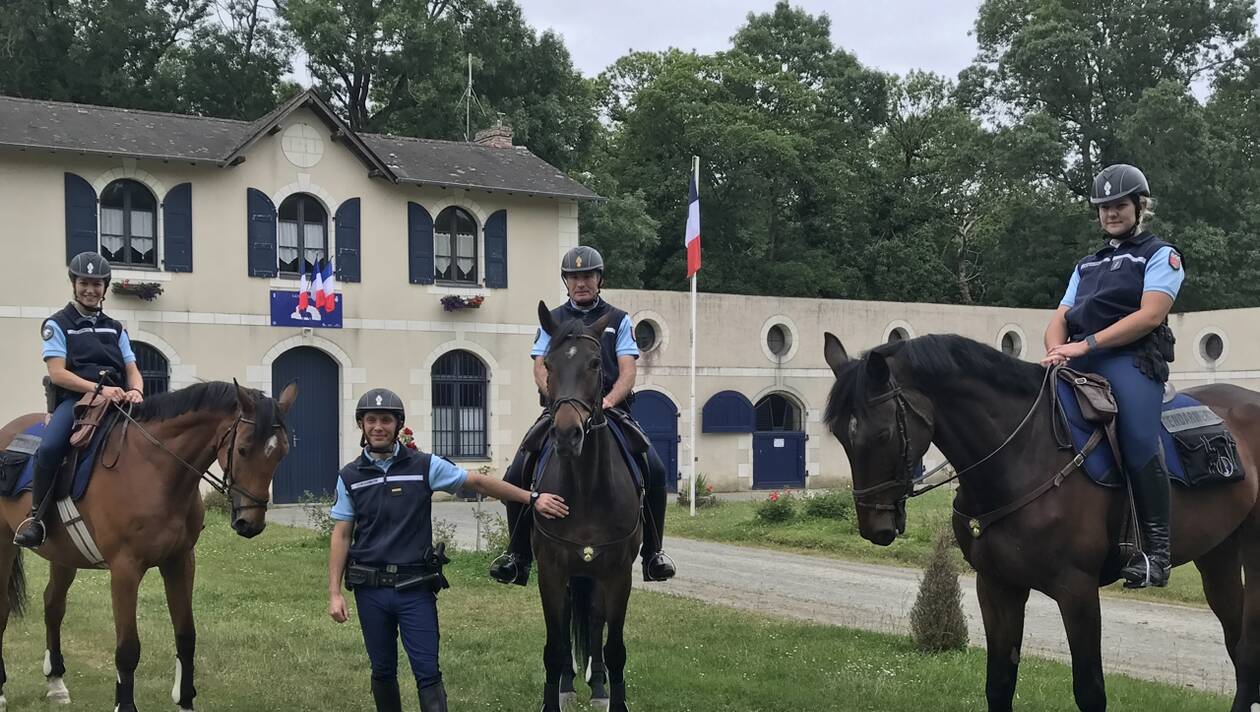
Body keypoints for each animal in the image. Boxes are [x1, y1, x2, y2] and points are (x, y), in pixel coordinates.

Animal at [0, 380, 294, 710]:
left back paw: (56, 683)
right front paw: (124, 704)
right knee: (4, 608)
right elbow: (128, 648)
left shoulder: (180, 562)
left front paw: (185, 700)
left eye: (281, 452)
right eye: (243, 449)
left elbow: (186, 636)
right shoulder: (125, 570)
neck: (153, 469)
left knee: (53, 605)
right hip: (5, 544)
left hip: (63, 556)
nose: (250, 523)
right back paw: (2, 691)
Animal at [534, 301, 645, 710]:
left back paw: (597, 687)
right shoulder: (550, 571)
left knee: (596, 623)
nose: (568, 435)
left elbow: (614, 648)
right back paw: (568, 684)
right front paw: (553, 697)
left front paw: (615, 699)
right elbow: (554, 645)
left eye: (596, 363)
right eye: (548, 363)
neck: (584, 489)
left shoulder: (618, 574)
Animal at [821, 332, 1260, 710]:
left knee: (1247, 650)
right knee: (1235, 640)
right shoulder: (997, 586)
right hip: (1217, 555)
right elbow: (999, 684)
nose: (874, 526)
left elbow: (1090, 690)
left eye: (881, 434)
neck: (1023, 456)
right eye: (841, 435)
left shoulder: (1077, 590)